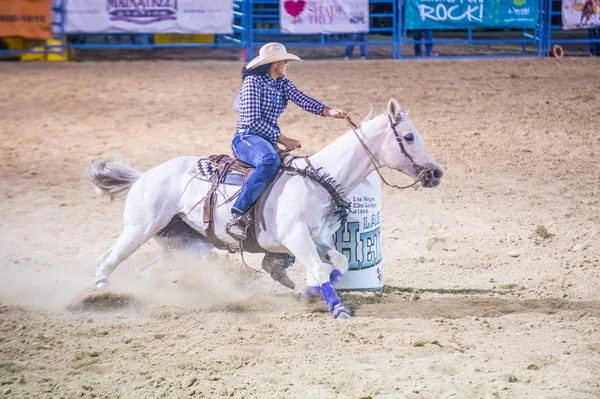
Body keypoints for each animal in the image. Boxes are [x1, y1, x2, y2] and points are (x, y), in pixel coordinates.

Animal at [90, 98, 446, 320]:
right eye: (409, 137)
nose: (436, 173)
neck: (318, 180)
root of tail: (143, 176)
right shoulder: (296, 236)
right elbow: (319, 269)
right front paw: (338, 308)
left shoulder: (318, 239)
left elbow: (339, 263)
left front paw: (311, 293)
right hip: (139, 228)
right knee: (107, 261)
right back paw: (102, 294)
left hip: (188, 246)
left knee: (148, 273)